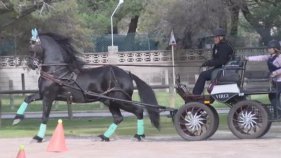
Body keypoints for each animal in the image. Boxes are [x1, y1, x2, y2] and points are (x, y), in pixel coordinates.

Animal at [13, 30, 161, 142]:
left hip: (120, 100)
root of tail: (127, 74)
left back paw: (139, 135)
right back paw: (104, 136)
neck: (57, 71)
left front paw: (38, 137)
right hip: (110, 101)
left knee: (139, 110)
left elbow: (44, 116)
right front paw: (17, 118)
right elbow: (27, 98)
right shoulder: (43, 94)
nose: (31, 64)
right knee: (118, 118)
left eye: (32, 47)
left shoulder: (49, 96)